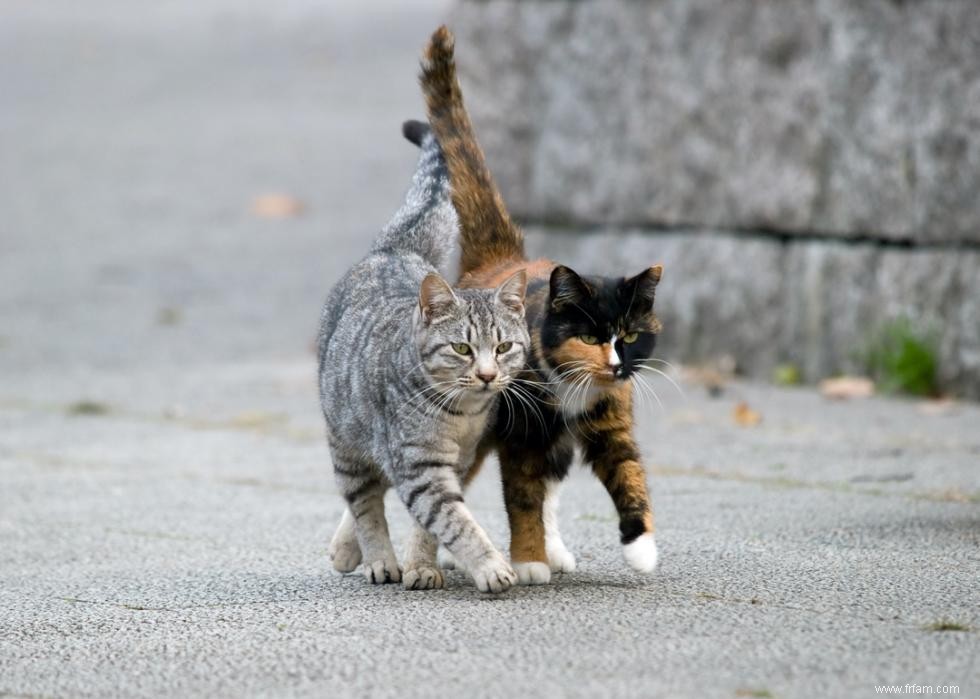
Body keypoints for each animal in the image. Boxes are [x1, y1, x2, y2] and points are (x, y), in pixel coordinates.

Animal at [318, 123, 528, 592]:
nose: (487, 375)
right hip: (347, 439)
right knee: (364, 502)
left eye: (503, 347)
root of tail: (392, 250)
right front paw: (490, 567)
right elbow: (454, 521)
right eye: (462, 348)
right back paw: (377, 559)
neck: (463, 414)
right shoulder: (421, 465)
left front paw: (423, 564)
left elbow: (431, 525)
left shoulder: (457, 461)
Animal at [412, 26, 660, 584]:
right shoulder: (521, 436)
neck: (573, 387)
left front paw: (642, 547)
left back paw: (557, 549)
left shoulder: (612, 420)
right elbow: (522, 496)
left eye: (631, 336)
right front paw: (527, 561)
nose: (618, 364)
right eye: (589, 336)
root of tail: (503, 258)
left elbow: (628, 472)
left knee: (553, 484)